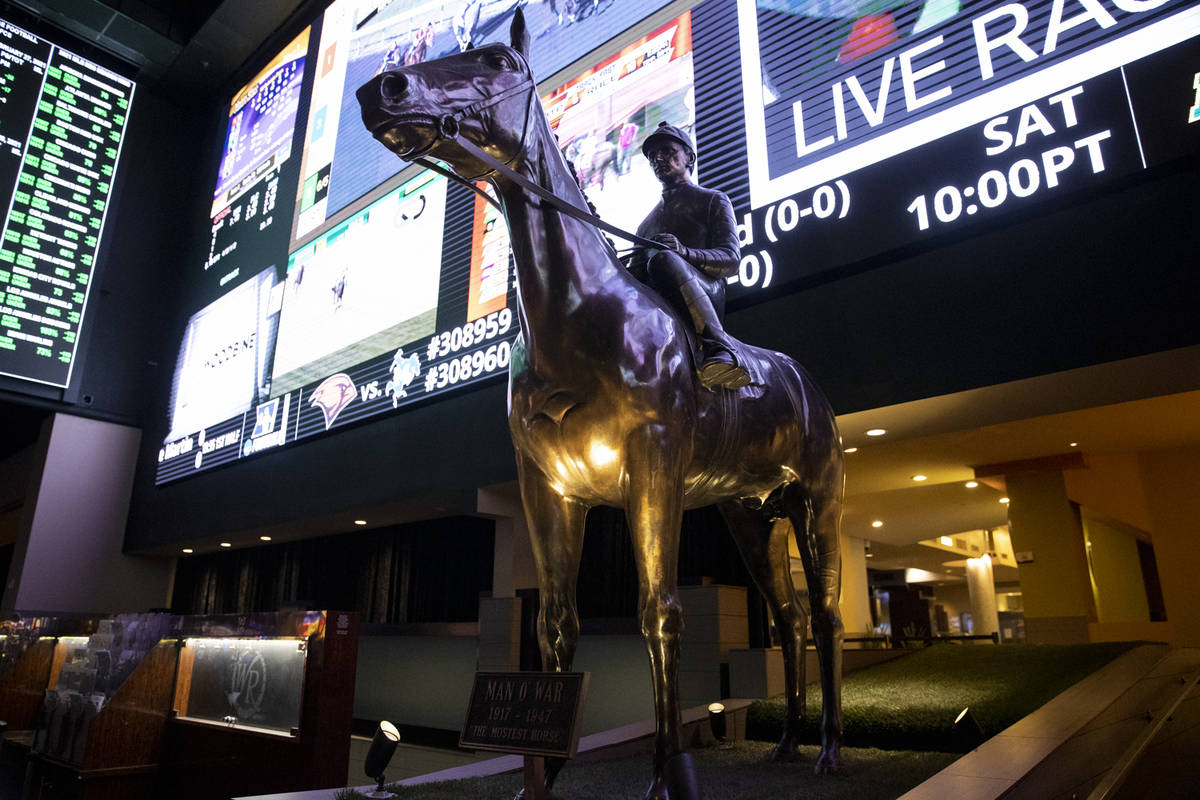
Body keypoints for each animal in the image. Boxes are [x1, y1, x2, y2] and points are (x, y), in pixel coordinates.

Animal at [355, 9, 844, 796]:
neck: (581, 315)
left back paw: (829, 747)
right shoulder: (550, 487)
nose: (383, 88)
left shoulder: (652, 469)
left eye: (496, 60)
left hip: (817, 503)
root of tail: (807, 385)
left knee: (825, 615)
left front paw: (668, 773)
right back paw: (790, 742)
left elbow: (659, 613)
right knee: (790, 615)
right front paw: (543, 776)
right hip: (751, 516)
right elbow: (556, 622)